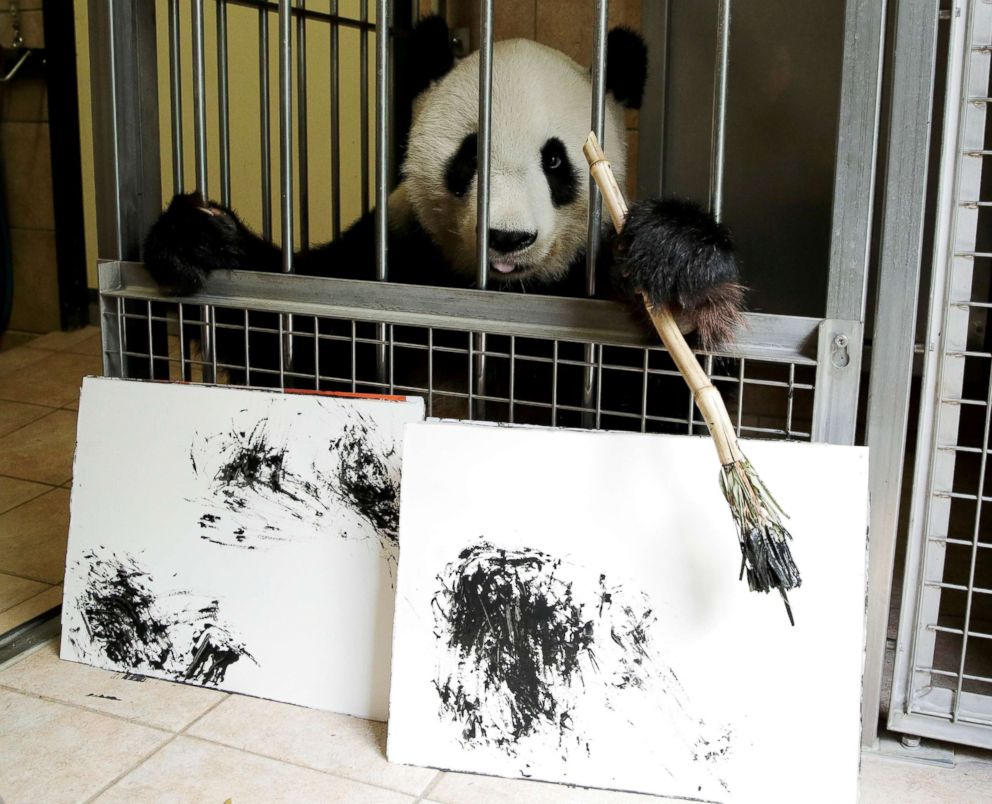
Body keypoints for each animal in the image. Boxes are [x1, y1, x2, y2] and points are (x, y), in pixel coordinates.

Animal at [143, 14, 740, 396]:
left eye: (554, 161)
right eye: (470, 154)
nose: (508, 238)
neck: (502, 296)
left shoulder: (581, 288)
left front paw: (680, 268)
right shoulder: (396, 258)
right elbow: (292, 344)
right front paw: (198, 237)